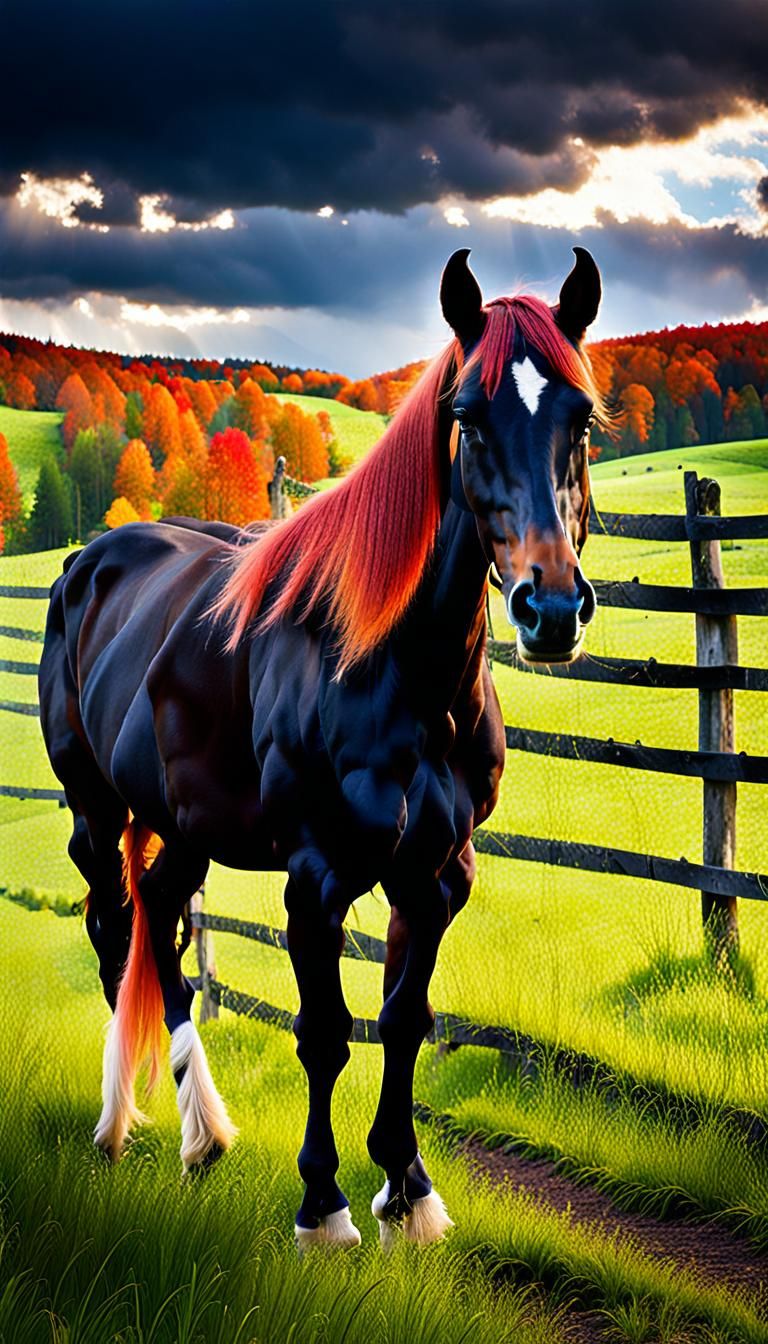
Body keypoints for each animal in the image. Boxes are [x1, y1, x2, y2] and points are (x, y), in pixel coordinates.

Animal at [38, 246, 608, 1249]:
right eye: (469, 418)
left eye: (577, 417)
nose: (549, 608)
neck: (398, 668)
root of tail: (85, 562)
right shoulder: (316, 876)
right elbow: (325, 1031)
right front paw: (324, 1206)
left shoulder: (438, 874)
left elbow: (405, 1018)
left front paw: (408, 1193)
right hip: (94, 811)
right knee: (113, 934)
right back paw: (119, 1127)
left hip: (181, 828)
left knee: (162, 933)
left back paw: (201, 1135)